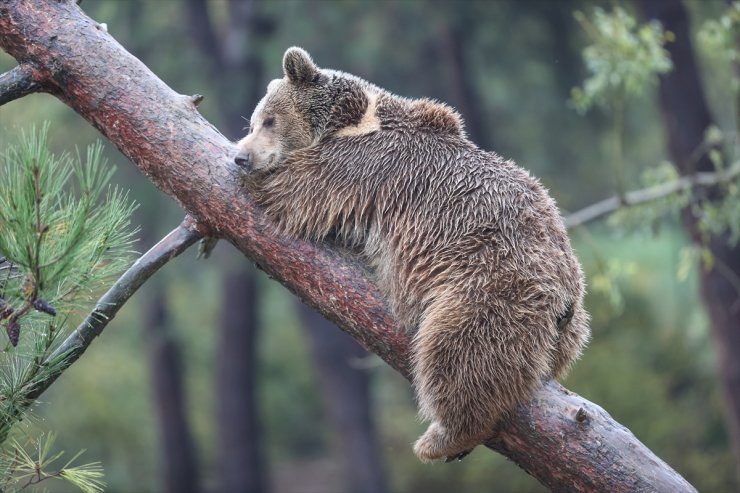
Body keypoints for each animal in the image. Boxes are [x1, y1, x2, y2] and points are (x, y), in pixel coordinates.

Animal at [236, 47, 588, 462]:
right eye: (254, 121)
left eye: (268, 120)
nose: (242, 157)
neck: (352, 119)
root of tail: (564, 296)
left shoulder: (361, 165)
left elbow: (296, 188)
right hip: (568, 325)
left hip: (489, 286)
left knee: (456, 352)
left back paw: (442, 437)